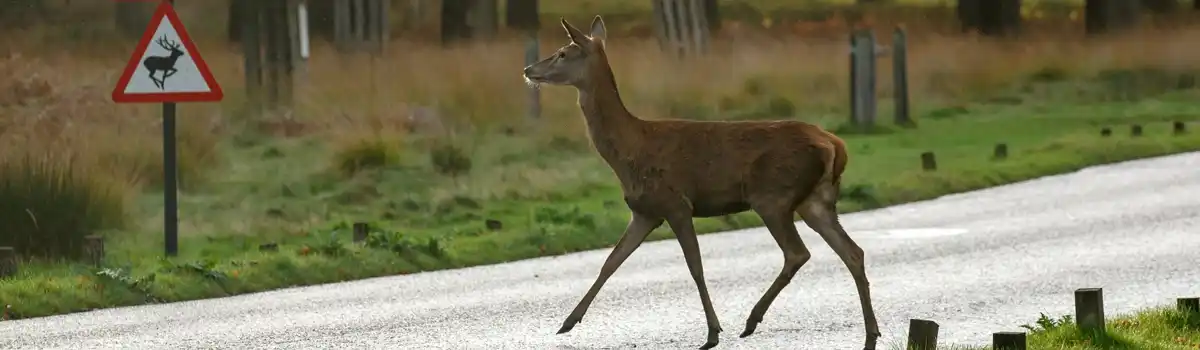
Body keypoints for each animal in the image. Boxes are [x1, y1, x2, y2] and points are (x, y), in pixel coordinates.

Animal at [523, 16, 883, 350]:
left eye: (563, 52)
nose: (528, 69)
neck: (629, 151)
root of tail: (835, 144)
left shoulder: (676, 203)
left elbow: (695, 267)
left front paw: (713, 332)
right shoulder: (645, 211)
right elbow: (610, 262)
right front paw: (568, 322)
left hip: (773, 195)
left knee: (798, 253)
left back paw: (751, 320)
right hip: (816, 199)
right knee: (853, 252)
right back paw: (870, 333)